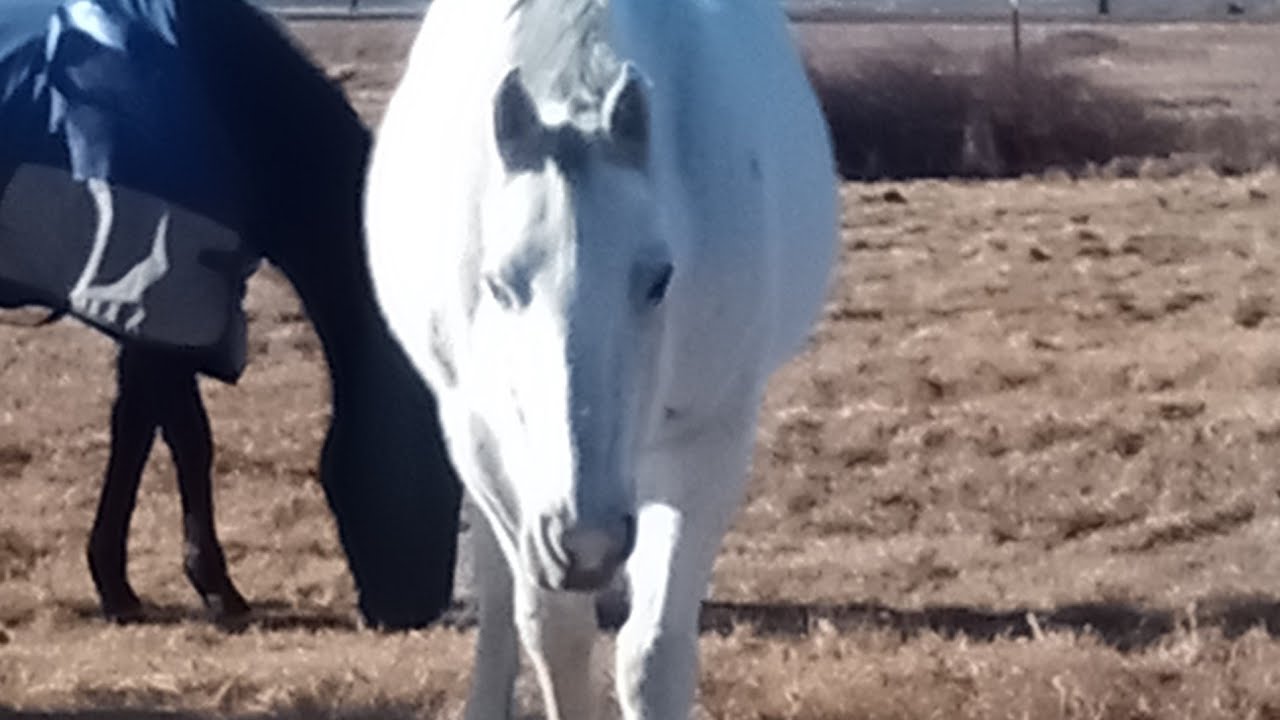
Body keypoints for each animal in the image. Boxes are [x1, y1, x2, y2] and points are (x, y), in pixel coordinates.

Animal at [0, 0, 462, 629]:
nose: (416, 609)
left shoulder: (156, 306)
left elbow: (135, 430)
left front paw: (116, 583)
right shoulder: (159, 294)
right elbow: (189, 439)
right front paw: (215, 588)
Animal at [365, 0, 837, 715]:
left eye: (660, 279)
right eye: (497, 283)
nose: (586, 543)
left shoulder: (709, 441)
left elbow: (652, 652)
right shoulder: (487, 448)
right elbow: (550, 629)